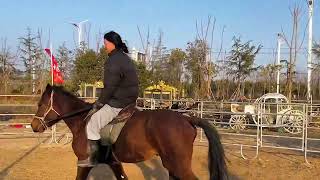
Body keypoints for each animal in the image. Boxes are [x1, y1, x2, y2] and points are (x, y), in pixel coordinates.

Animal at [31, 84, 229, 180]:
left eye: (40, 104)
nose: (34, 126)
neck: (82, 121)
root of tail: (186, 118)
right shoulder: (113, 162)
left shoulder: (84, 162)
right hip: (172, 165)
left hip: (179, 166)